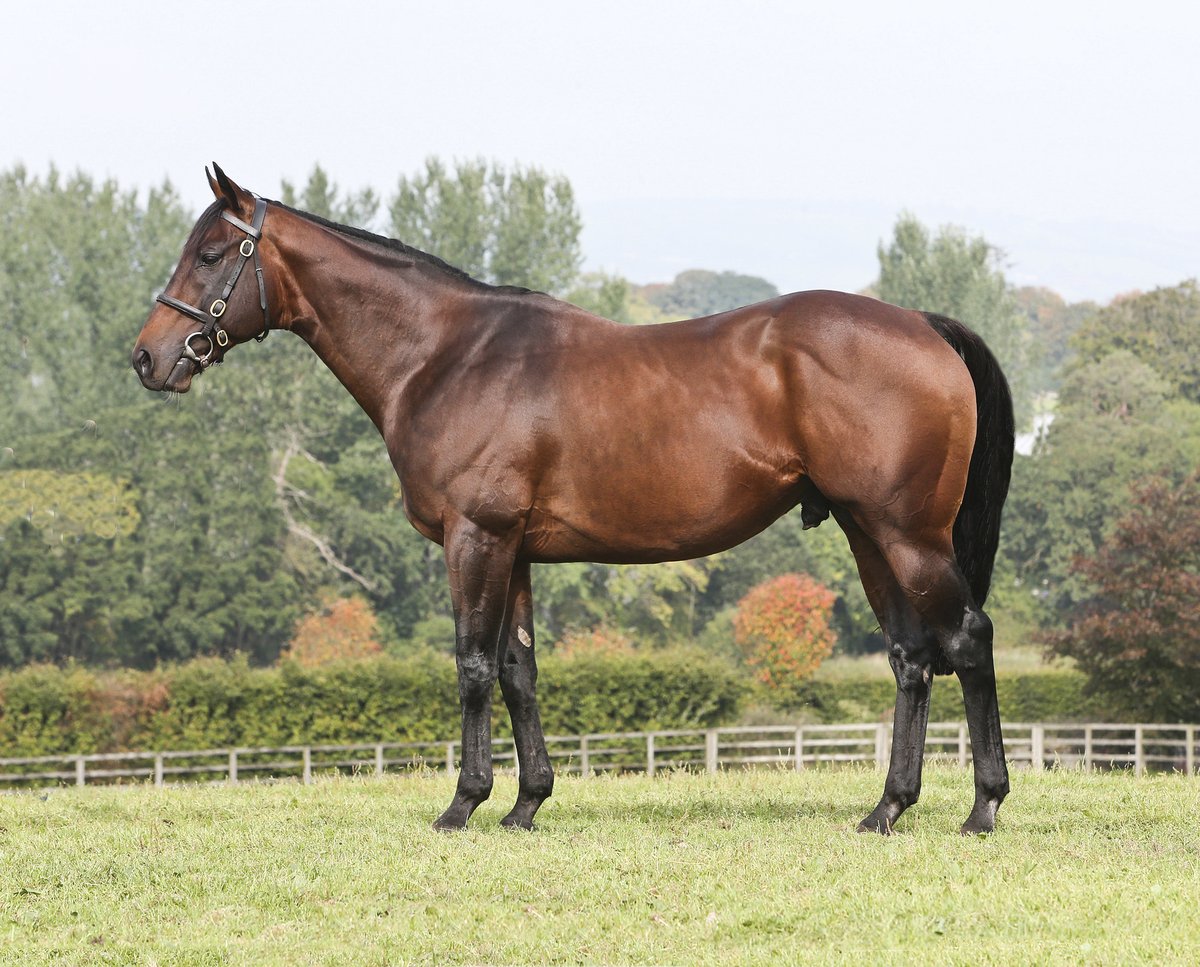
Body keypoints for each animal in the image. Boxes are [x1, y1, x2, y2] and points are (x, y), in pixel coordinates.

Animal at [132, 165, 1015, 835]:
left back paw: (982, 807)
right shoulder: (515, 548)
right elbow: (519, 669)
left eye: (211, 253)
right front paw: (526, 804)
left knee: (968, 638)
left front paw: (462, 804)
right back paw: (887, 808)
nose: (147, 358)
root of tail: (922, 324)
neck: (445, 355)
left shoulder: (475, 537)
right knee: (910, 657)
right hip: (869, 533)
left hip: (907, 534)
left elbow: (474, 665)